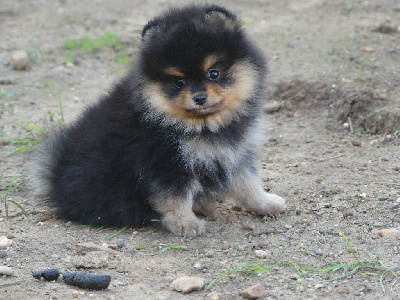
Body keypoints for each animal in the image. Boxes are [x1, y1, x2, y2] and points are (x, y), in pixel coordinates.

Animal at [32, 4, 286, 238]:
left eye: (213, 73)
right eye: (179, 83)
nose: (199, 98)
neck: (201, 126)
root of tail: (55, 178)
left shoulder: (233, 154)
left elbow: (248, 184)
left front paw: (267, 203)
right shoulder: (165, 162)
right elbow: (174, 198)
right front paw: (185, 224)